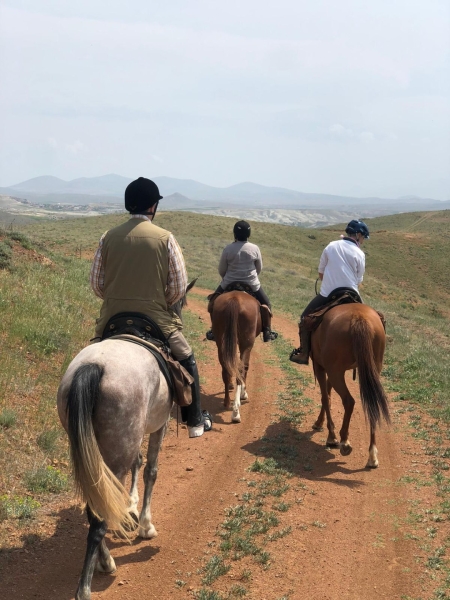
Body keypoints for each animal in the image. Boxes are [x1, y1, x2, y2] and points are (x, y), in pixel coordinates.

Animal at [56, 282, 195, 600]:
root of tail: (94, 366)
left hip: (97, 450)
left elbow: (139, 463)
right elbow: (151, 470)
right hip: (118, 448)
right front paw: (145, 524)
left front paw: (130, 508)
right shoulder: (160, 425)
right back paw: (88, 584)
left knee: (97, 502)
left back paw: (104, 561)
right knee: (99, 517)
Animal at [212, 290, 262, 422]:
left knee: (225, 368)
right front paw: (244, 393)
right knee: (241, 368)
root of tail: (235, 299)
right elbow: (245, 367)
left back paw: (227, 402)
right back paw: (236, 411)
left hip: (221, 342)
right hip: (246, 344)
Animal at [310, 304, 390, 468]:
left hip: (335, 371)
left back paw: (344, 442)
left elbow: (325, 397)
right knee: (372, 405)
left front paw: (331, 436)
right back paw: (372, 455)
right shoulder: (329, 370)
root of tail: (359, 318)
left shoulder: (320, 366)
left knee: (348, 401)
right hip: (371, 369)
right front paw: (319, 423)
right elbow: (328, 394)